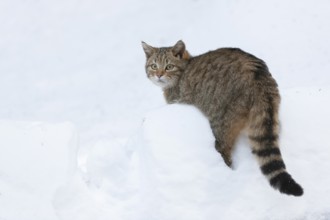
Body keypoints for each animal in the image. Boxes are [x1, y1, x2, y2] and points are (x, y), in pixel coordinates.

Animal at [141, 39, 302, 196]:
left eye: (169, 66)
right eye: (154, 66)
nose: (159, 75)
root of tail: (257, 77)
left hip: (221, 122)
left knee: (223, 149)